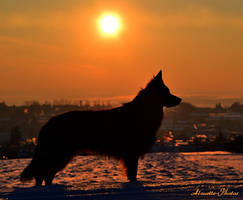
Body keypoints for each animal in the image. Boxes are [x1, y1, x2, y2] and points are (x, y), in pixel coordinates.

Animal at [20, 70, 180, 186]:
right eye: (167, 92)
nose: (180, 99)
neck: (143, 111)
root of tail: (49, 122)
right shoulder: (131, 154)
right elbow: (133, 174)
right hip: (59, 154)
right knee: (41, 173)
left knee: (46, 174)